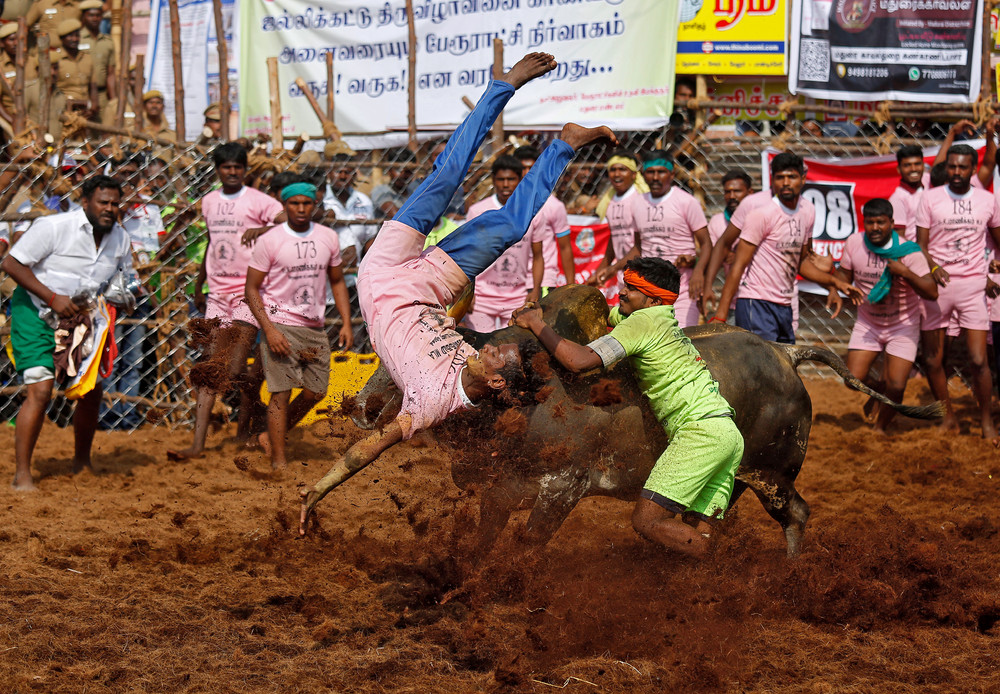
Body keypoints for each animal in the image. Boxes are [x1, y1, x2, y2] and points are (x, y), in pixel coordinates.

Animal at [342, 286, 936, 556]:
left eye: (414, 354)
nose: (363, 408)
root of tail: (784, 353)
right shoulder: (503, 489)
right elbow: (485, 541)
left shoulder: (563, 487)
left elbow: (527, 545)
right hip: (741, 480)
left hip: (775, 474)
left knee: (797, 513)